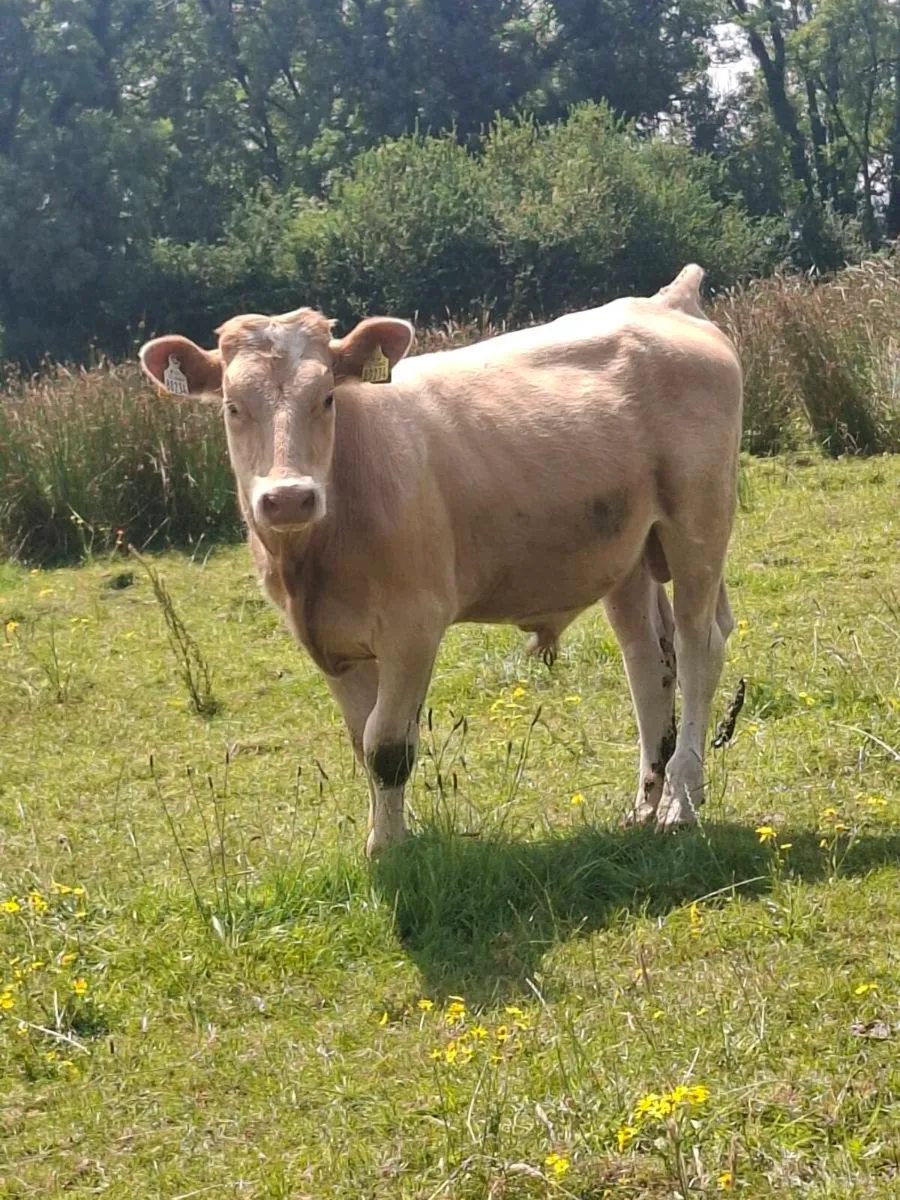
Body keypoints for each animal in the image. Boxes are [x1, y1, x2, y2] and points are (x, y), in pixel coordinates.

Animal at [140, 265, 742, 857]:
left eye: (327, 398)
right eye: (232, 406)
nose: (289, 498)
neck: (311, 561)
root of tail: (664, 301)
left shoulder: (413, 626)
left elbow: (386, 745)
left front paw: (389, 849)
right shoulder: (333, 645)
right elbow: (361, 741)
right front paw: (384, 837)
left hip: (698, 524)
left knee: (697, 646)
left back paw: (680, 802)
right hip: (629, 550)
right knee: (648, 661)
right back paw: (643, 804)